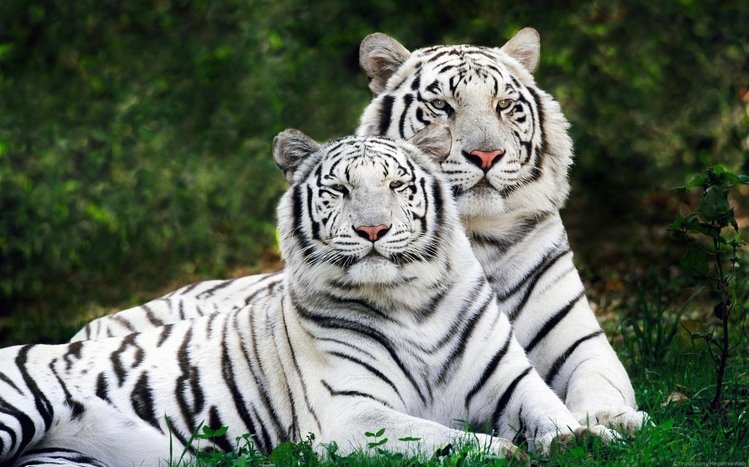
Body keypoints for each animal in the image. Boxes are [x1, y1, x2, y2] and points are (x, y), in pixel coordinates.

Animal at [1, 129, 615, 466]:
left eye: (397, 186)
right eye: (339, 189)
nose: (373, 230)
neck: (411, 302)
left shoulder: (512, 381)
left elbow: (553, 413)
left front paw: (591, 437)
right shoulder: (350, 413)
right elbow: (447, 438)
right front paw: (506, 452)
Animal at [71, 28, 647, 433]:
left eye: (505, 105)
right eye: (442, 106)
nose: (485, 155)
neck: (477, 237)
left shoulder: (579, 340)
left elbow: (600, 381)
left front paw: (613, 420)